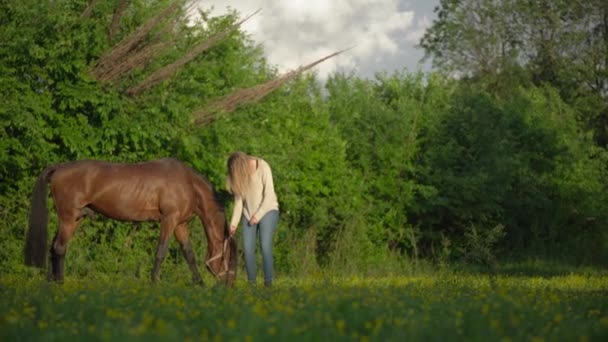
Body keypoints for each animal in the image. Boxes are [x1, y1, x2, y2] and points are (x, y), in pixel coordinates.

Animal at [22, 158, 235, 286]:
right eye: (227, 257)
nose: (228, 285)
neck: (188, 183)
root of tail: (59, 168)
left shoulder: (180, 224)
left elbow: (188, 253)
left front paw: (200, 283)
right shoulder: (169, 220)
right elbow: (161, 252)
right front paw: (154, 282)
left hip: (74, 219)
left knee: (54, 246)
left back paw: (51, 282)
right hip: (68, 218)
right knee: (59, 248)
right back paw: (60, 282)